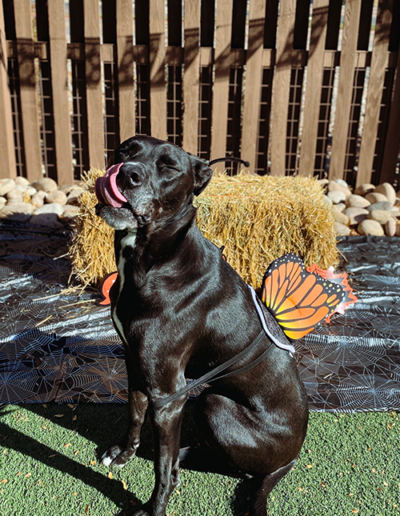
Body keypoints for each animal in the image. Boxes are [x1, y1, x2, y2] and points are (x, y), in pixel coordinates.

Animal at [95, 135, 308, 512]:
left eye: (169, 167)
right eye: (125, 150)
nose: (126, 174)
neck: (156, 261)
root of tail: (292, 459)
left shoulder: (168, 395)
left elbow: (162, 467)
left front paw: (154, 508)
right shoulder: (134, 363)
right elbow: (133, 413)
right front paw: (123, 454)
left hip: (214, 405)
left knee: (238, 467)